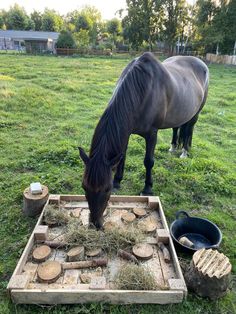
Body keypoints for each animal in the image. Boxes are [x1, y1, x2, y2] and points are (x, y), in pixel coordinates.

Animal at [79, 52, 208, 228]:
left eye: (106, 189)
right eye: (84, 187)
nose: (95, 224)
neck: (143, 91)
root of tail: (200, 62)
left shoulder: (152, 134)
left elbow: (149, 161)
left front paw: (147, 188)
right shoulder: (126, 132)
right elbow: (122, 157)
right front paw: (118, 181)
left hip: (196, 114)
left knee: (189, 131)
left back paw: (184, 152)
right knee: (176, 128)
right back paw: (173, 147)